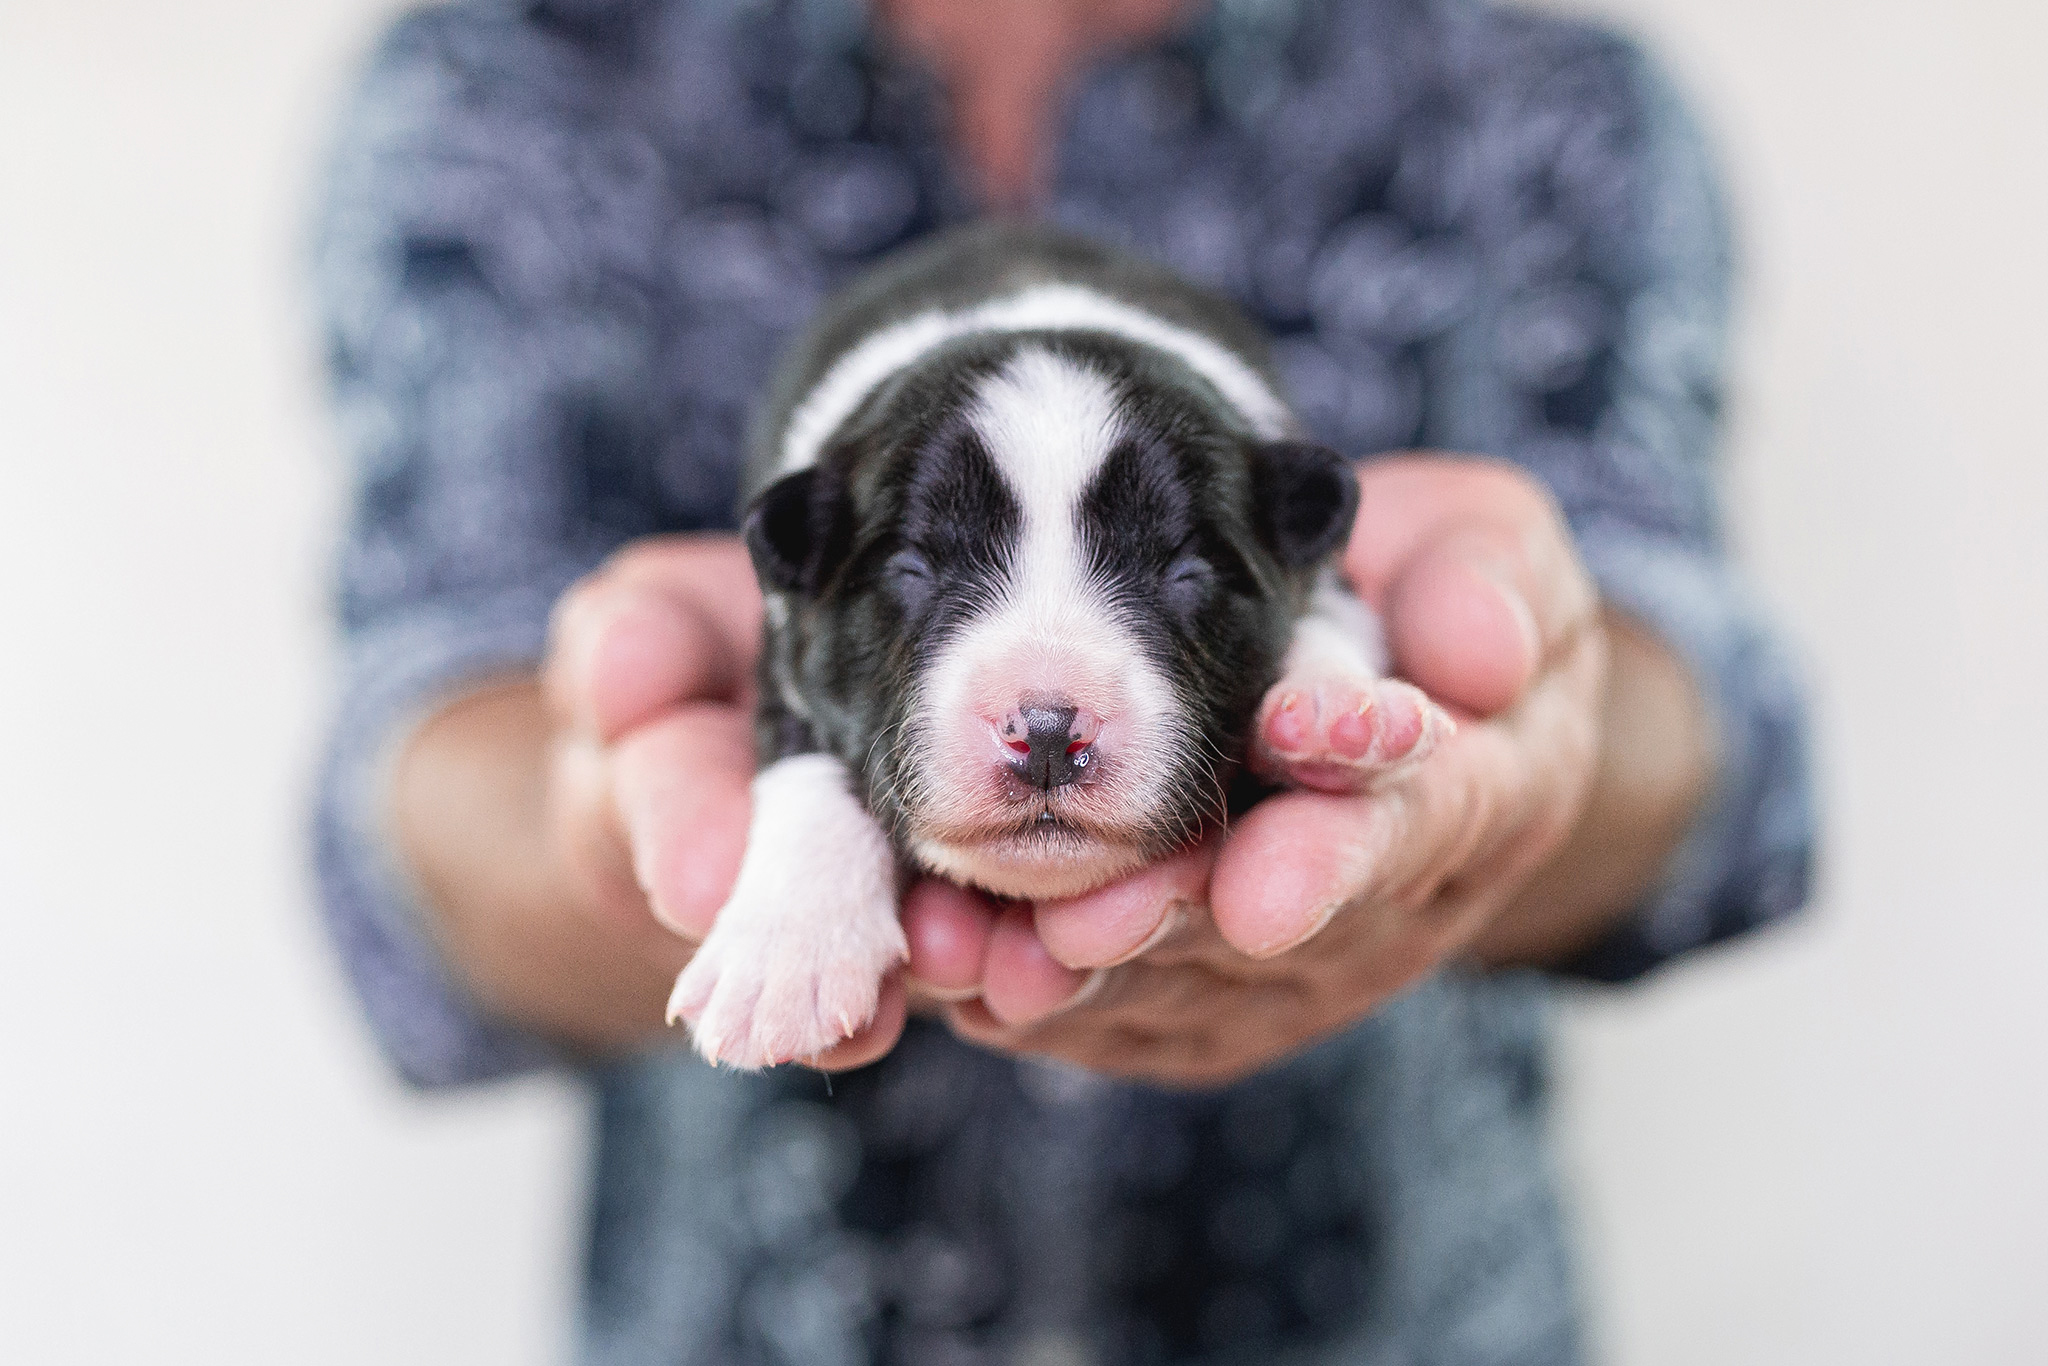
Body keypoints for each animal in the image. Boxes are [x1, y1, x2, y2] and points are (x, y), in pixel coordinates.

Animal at [663, 227, 1449, 1064]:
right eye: (912, 568)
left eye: (1186, 571)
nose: (1045, 733)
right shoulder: (789, 630)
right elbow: (805, 758)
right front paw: (781, 955)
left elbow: (1331, 611)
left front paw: (1340, 711)